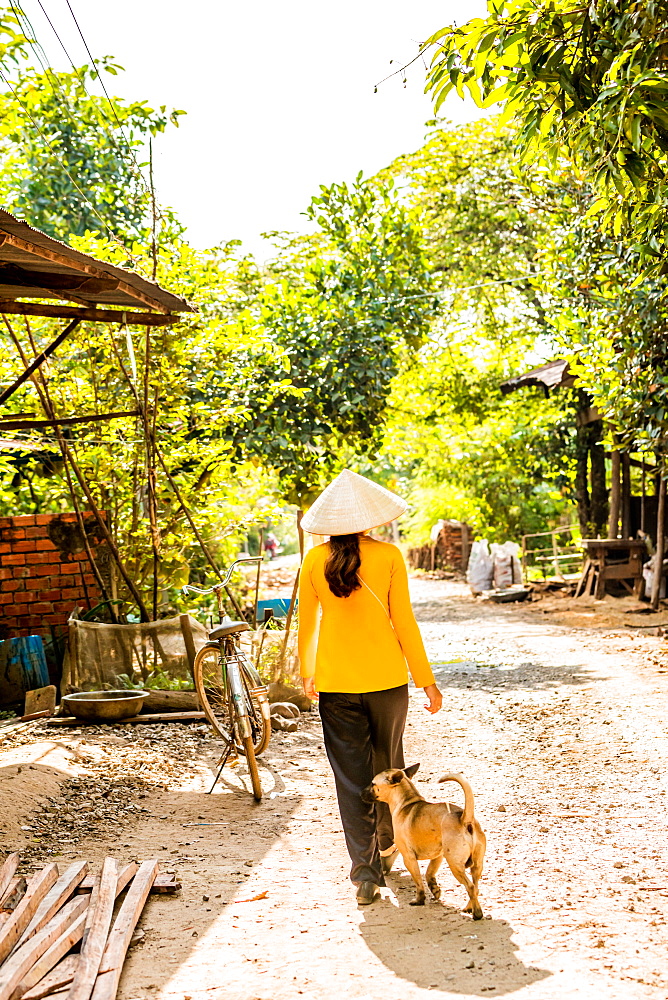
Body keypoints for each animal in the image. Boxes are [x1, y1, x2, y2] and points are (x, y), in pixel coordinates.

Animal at [366, 764, 486, 920]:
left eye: (373, 784)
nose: (361, 792)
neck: (406, 802)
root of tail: (465, 818)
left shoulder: (409, 859)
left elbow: (418, 882)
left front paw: (419, 900)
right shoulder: (438, 856)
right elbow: (429, 873)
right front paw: (435, 889)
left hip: (455, 864)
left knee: (470, 887)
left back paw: (477, 913)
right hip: (476, 866)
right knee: (475, 887)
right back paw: (469, 907)